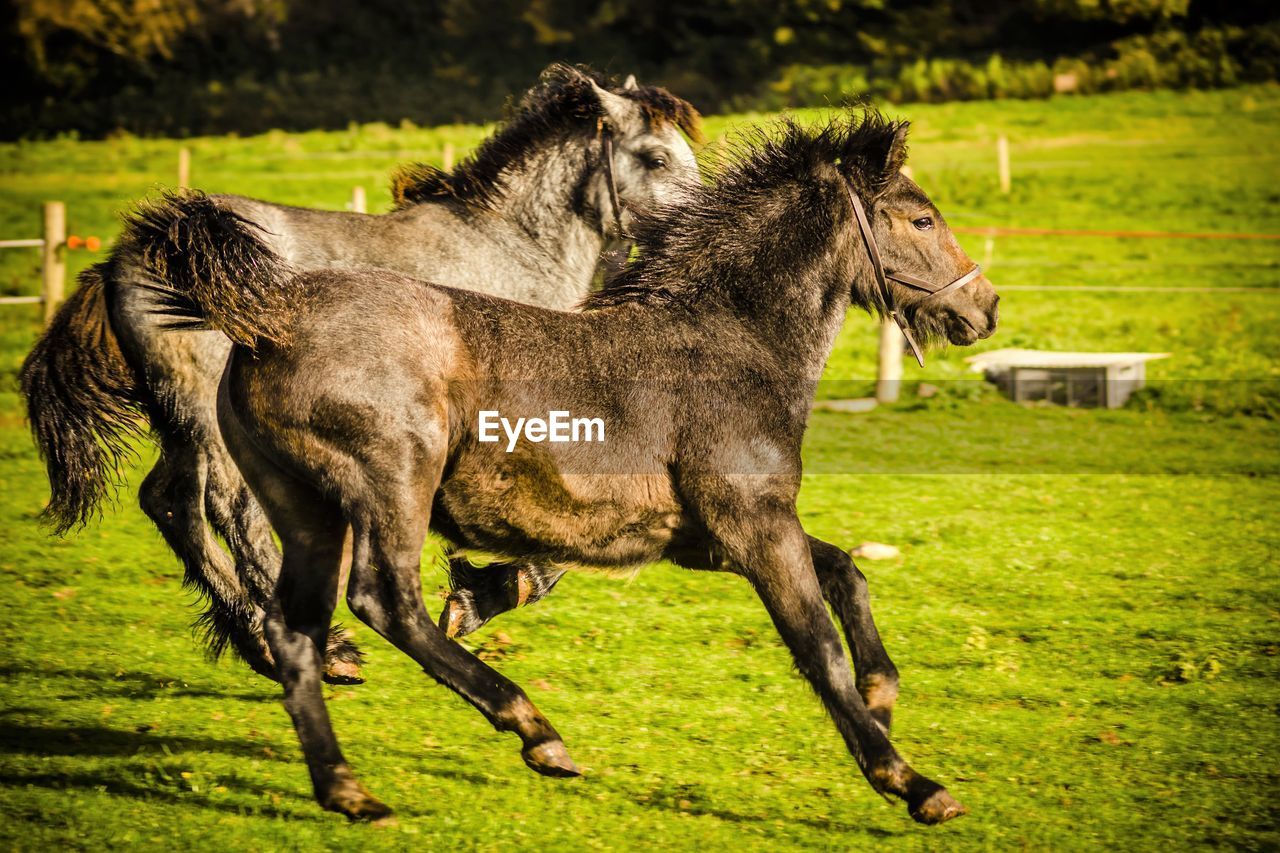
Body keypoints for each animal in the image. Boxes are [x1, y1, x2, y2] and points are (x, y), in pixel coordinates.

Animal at [145, 114, 993, 824]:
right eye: (921, 219)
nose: (983, 307)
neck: (730, 345)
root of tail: (269, 317)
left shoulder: (713, 537)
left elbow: (847, 570)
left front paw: (882, 694)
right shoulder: (754, 527)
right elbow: (817, 644)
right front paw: (908, 778)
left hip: (308, 510)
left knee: (295, 630)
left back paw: (348, 789)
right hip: (391, 484)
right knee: (387, 601)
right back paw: (534, 730)